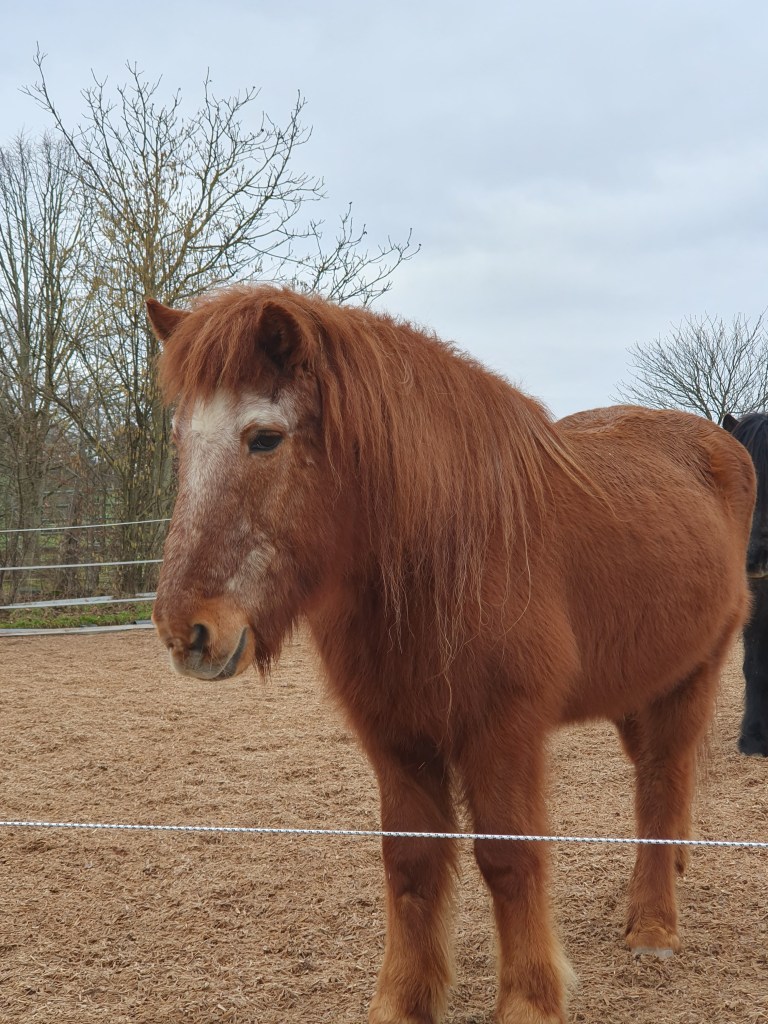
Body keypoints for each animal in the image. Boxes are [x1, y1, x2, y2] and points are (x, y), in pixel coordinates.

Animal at [147, 286, 755, 1024]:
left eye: (265, 438)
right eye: (180, 442)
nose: (186, 630)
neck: (445, 550)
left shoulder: (503, 732)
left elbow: (508, 859)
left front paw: (529, 999)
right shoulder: (395, 737)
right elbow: (410, 862)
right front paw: (404, 1000)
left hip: (691, 675)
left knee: (663, 782)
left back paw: (654, 926)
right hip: (637, 687)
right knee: (656, 779)